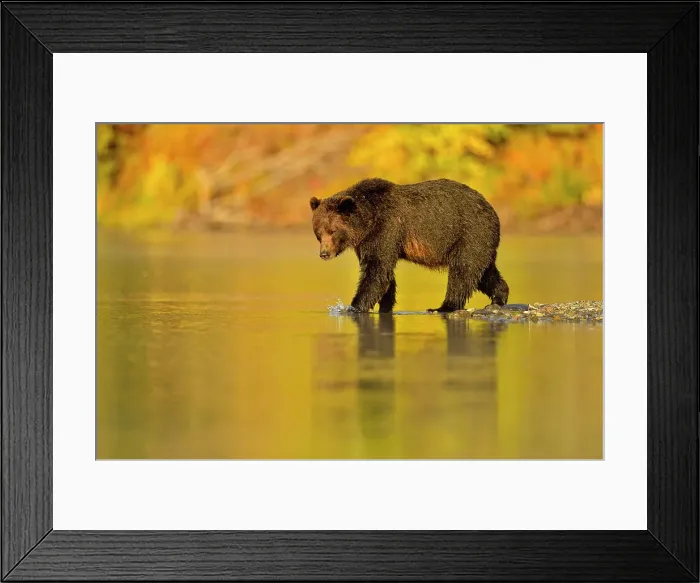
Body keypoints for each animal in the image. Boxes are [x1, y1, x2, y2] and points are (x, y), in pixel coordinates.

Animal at [309, 177, 509, 313]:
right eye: (318, 233)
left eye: (332, 231)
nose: (324, 254)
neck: (367, 221)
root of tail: (491, 208)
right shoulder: (368, 242)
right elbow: (383, 274)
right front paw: (385, 305)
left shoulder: (386, 228)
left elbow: (376, 271)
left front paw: (354, 306)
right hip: (480, 241)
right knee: (483, 272)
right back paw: (499, 297)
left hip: (469, 233)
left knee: (463, 270)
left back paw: (444, 306)